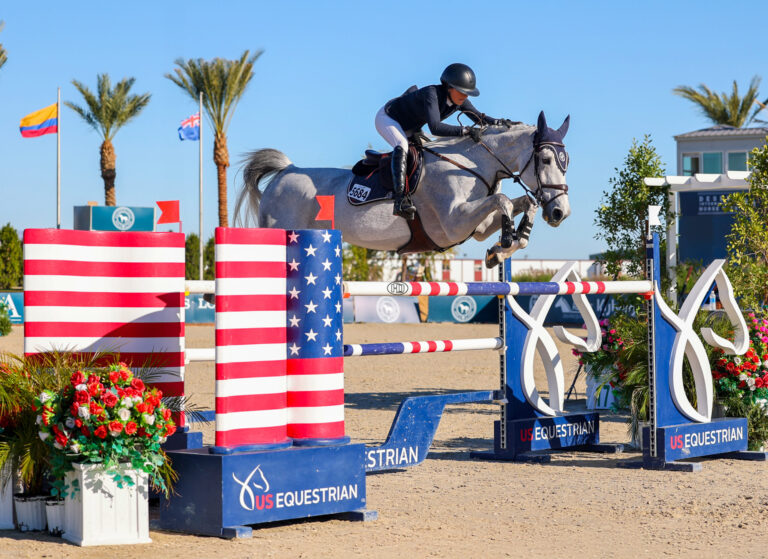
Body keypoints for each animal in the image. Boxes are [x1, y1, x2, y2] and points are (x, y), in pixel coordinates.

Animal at [234, 110, 568, 268]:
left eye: (567, 162)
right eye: (546, 159)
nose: (560, 212)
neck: (468, 162)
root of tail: (286, 171)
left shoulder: (477, 226)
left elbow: (521, 202)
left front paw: (504, 248)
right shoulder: (452, 224)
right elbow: (504, 200)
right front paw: (507, 241)